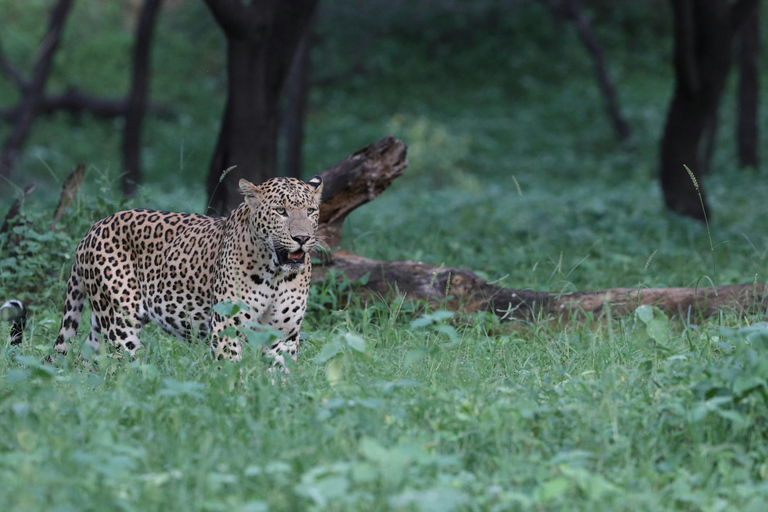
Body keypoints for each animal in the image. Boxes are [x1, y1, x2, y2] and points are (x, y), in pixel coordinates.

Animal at [53, 175, 323, 366]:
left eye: (310, 211)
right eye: (280, 211)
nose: (302, 238)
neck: (276, 274)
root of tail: (92, 229)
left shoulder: (284, 334)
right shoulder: (226, 327)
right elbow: (230, 371)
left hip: (101, 322)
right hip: (120, 319)